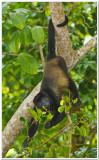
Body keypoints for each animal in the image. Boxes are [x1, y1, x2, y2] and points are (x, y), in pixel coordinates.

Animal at [22, 16, 81, 148]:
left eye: (44, 99)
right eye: (40, 104)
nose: (45, 103)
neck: (45, 94)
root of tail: (51, 59)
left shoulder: (52, 96)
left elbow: (62, 111)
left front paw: (49, 124)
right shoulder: (35, 108)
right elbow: (35, 121)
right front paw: (27, 140)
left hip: (62, 62)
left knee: (70, 81)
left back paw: (76, 97)